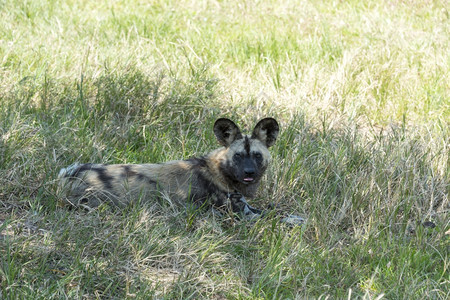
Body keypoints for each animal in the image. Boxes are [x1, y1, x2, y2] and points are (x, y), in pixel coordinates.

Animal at [58, 118, 306, 226]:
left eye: (256, 155)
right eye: (237, 156)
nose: (249, 173)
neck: (218, 170)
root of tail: (67, 177)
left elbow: (275, 209)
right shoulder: (242, 214)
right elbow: (277, 215)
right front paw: (298, 220)